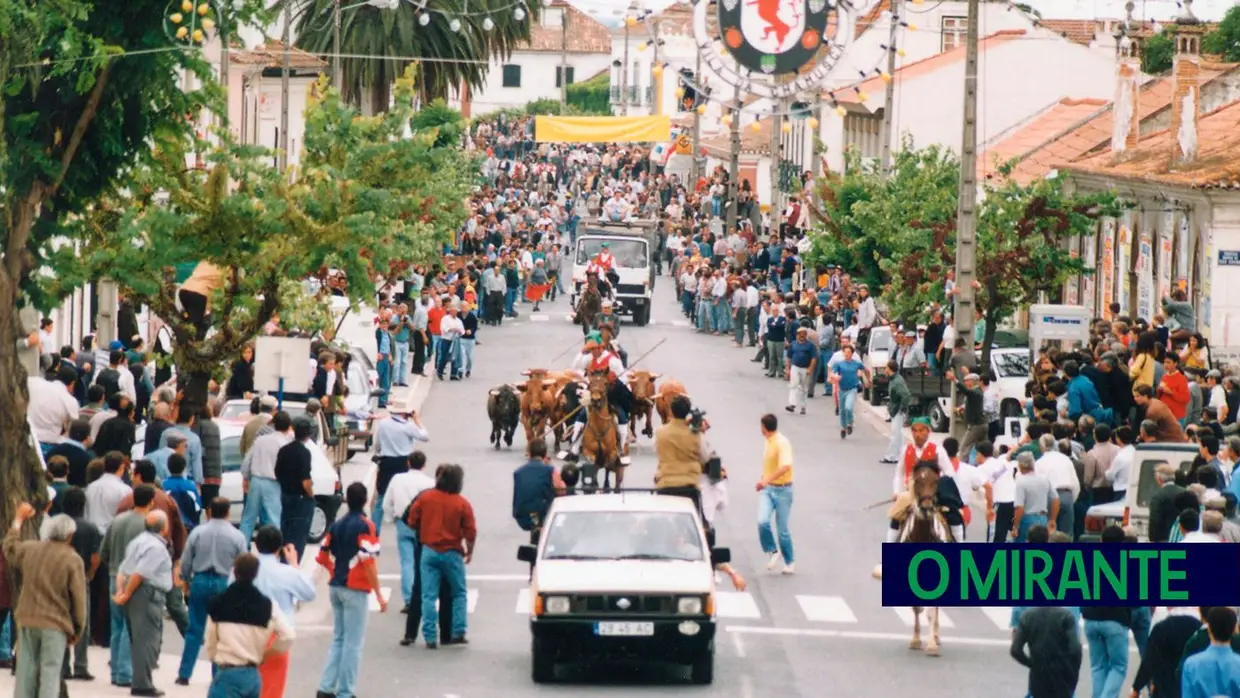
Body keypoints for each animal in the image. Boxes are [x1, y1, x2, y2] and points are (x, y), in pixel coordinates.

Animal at [897, 461, 952, 659]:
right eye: (917, 480)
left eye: (936, 481)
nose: (927, 507)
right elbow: (916, 607)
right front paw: (915, 639)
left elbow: (930, 611)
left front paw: (931, 645)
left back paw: (935, 636)